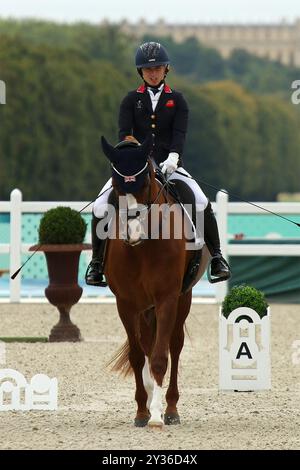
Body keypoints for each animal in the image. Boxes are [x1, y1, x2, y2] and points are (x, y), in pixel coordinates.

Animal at [100, 135, 209, 426]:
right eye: (116, 185)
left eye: (146, 183)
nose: (133, 233)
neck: (143, 247)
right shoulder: (126, 303)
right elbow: (138, 356)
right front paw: (142, 410)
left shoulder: (167, 298)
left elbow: (161, 357)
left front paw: (158, 416)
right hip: (145, 308)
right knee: (148, 344)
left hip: (183, 298)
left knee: (174, 346)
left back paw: (170, 408)